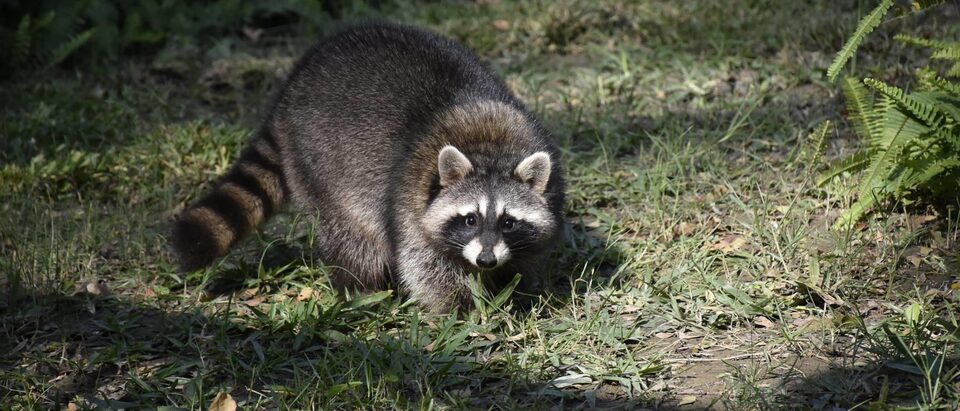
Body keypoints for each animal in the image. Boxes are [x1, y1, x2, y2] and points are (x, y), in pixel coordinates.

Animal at [171, 22, 564, 312]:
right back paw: (360, 289)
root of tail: (292, 87)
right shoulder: (409, 197)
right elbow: (425, 265)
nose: (485, 260)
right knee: (353, 238)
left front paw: (515, 288)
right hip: (316, 162)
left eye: (509, 221)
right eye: (469, 219)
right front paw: (461, 307)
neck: (490, 146)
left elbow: (529, 253)